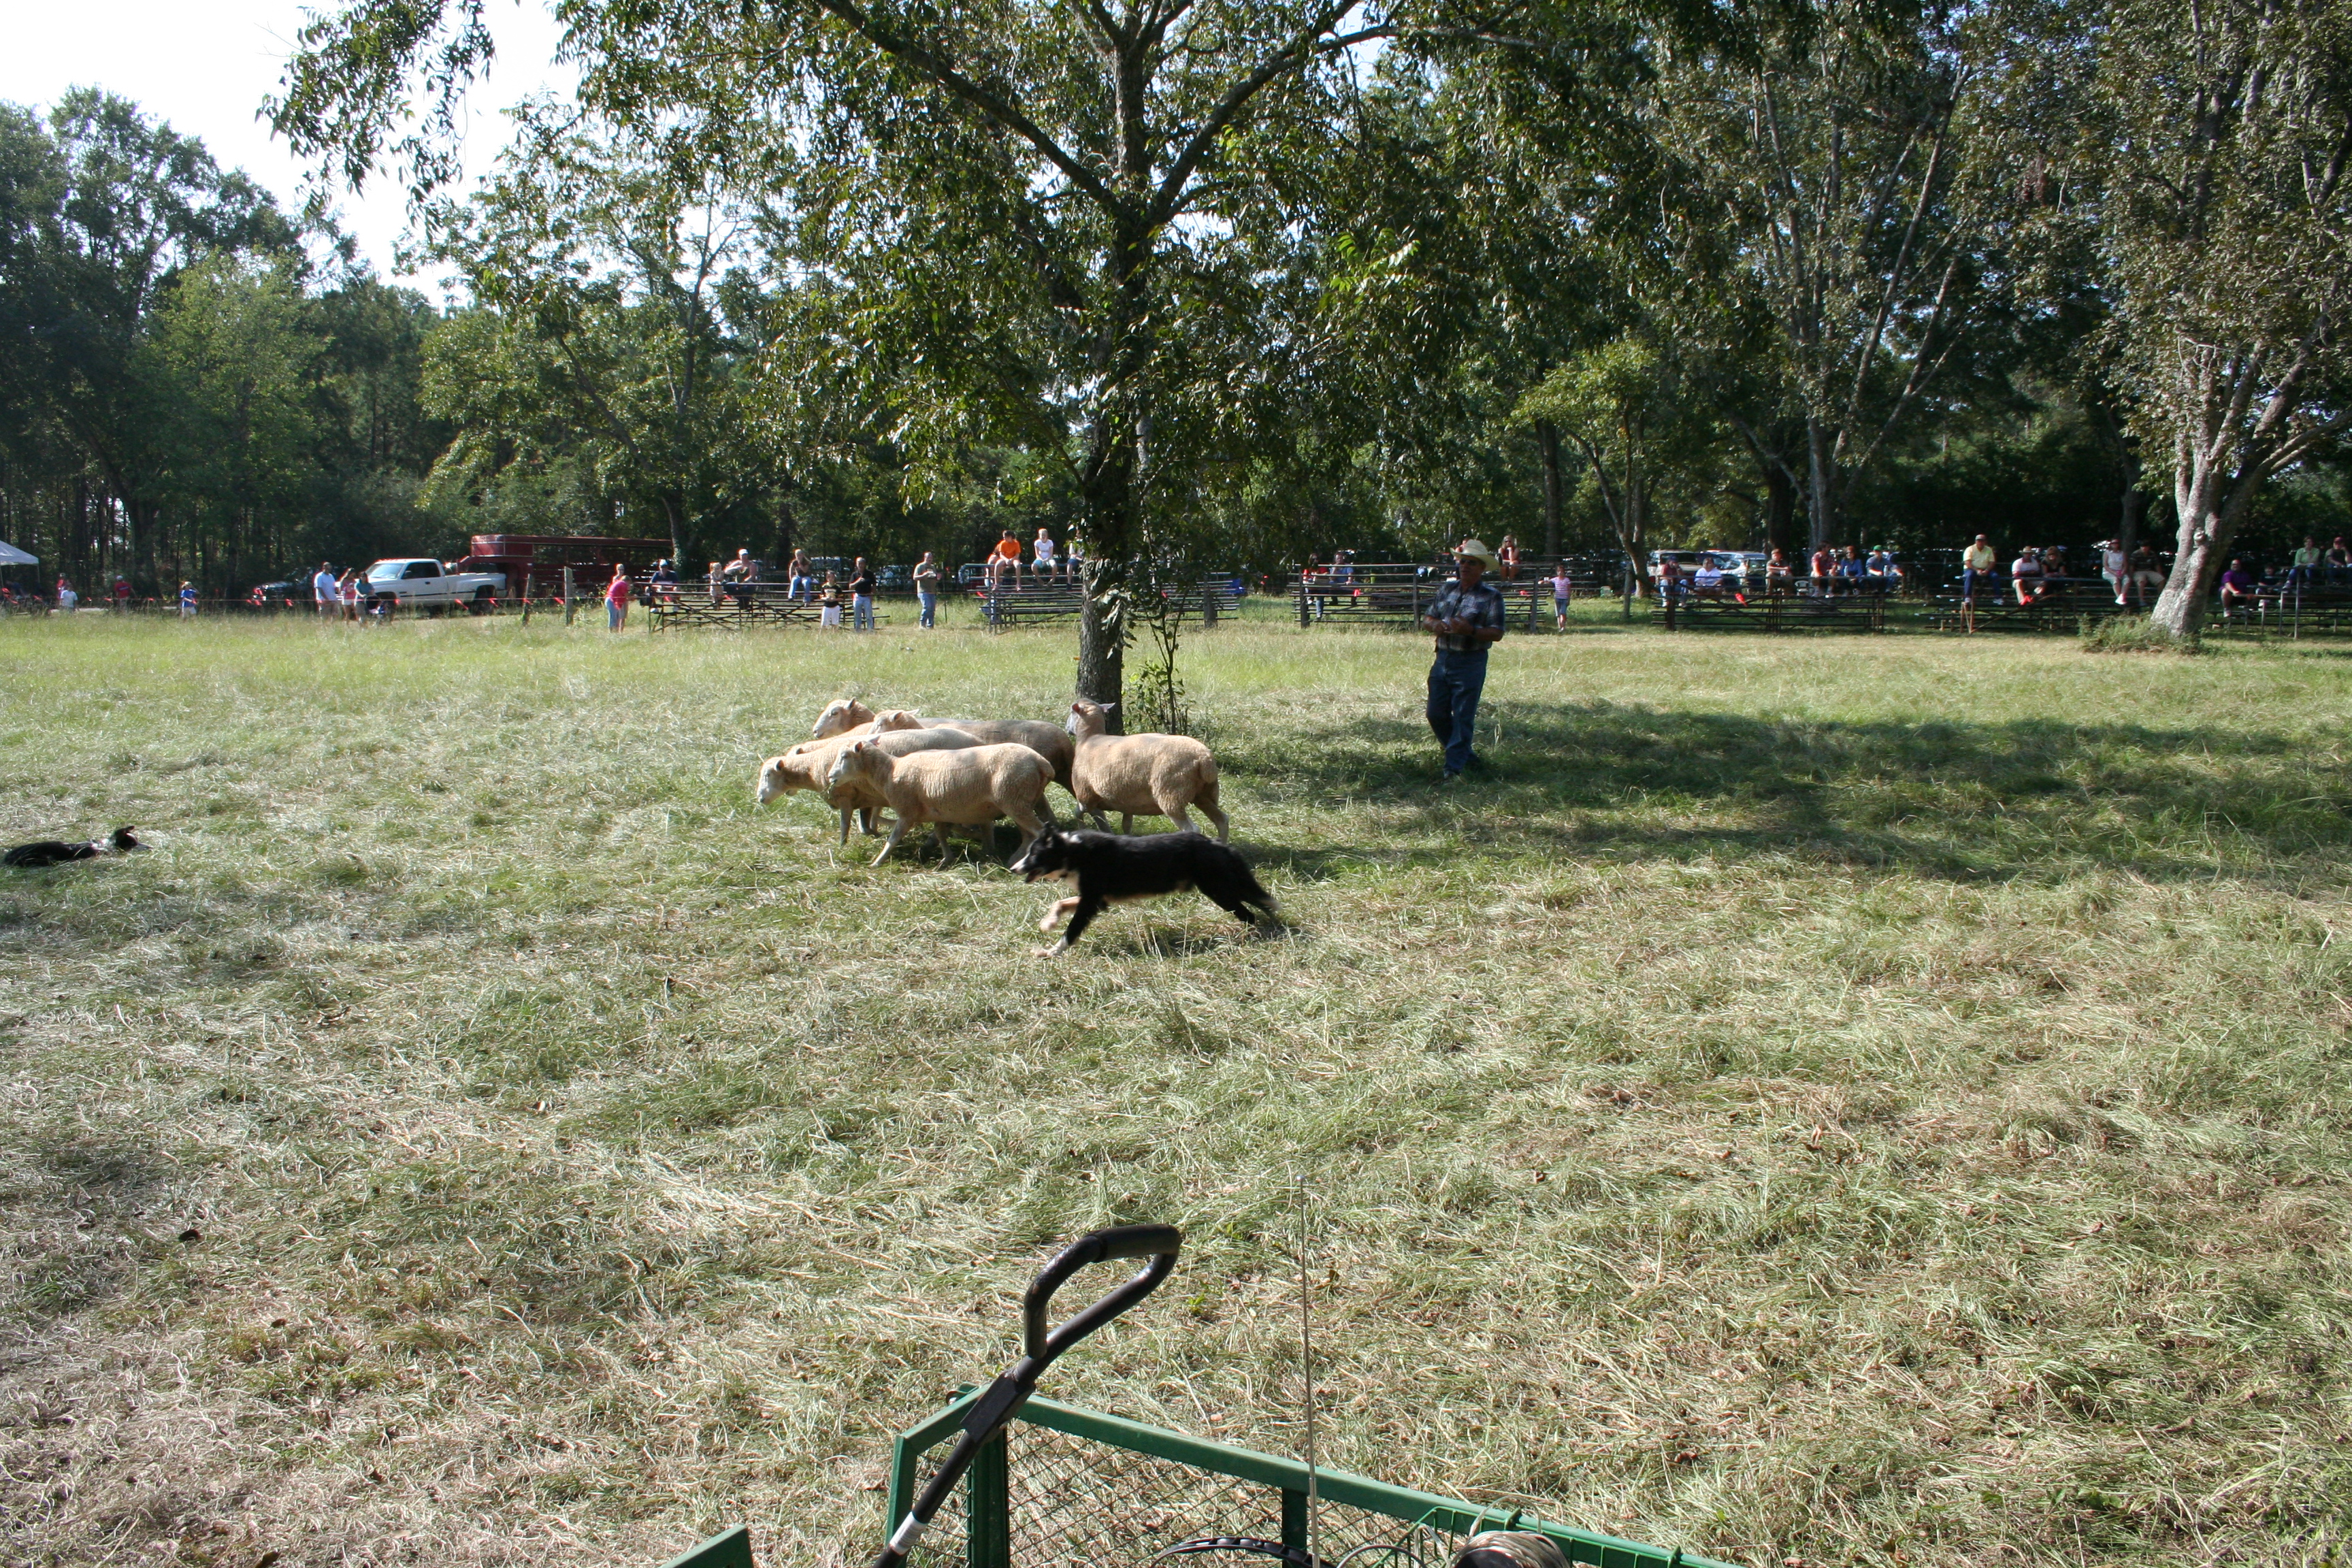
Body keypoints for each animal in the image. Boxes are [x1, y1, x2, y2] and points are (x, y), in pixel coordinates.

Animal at [754, 727, 981, 841]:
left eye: (768, 775)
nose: (760, 798)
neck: (813, 765)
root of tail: (977, 740)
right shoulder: (866, 797)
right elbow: (866, 823)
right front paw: (876, 833)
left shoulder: (846, 796)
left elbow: (846, 825)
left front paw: (842, 846)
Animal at [825, 739, 1055, 867]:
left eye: (844, 756)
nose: (830, 777)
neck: (890, 771)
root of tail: (1041, 762)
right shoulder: (940, 812)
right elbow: (940, 834)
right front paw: (947, 859)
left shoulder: (907, 812)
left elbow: (893, 838)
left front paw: (877, 862)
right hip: (1021, 800)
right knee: (1029, 835)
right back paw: (1015, 860)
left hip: (1014, 799)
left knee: (1038, 831)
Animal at [1065, 698, 1229, 841]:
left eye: (1071, 712)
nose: (1067, 729)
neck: (1090, 739)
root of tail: (1204, 758)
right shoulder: (1126, 801)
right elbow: (1126, 825)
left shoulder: (1085, 795)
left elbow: (1078, 812)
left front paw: (1081, 829)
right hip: (1205, 794)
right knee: (1222, 820)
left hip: (1171, 795)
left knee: (1192, 828)